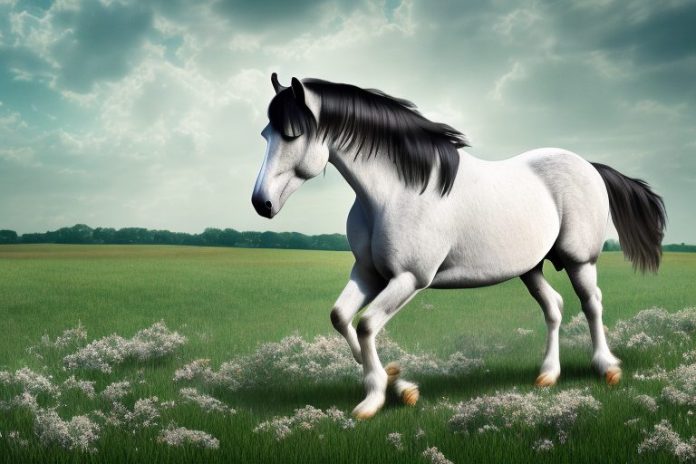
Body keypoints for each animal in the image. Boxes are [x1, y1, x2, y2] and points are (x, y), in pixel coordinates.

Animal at [251, 73, 666, 419]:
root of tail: (590, 166)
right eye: (266, 134)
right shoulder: (368, 272)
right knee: (555, 307)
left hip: (580, 261)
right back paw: (548, 374)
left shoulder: (409, 278)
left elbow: (366, 325)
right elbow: (341, 318)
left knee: (591, 303)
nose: (261, 203)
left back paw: (606, 367)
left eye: (292, 134)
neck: (396, 192)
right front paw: (397, 382)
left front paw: (374, 400)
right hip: (530, 268)